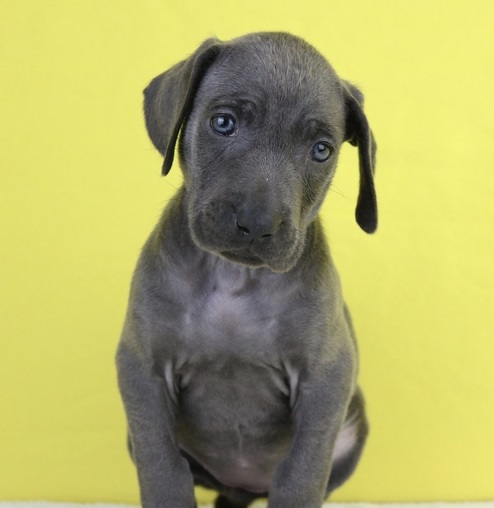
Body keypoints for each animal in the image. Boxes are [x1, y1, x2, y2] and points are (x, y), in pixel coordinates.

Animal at [116, 31, 378, 508]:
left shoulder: (327, 377)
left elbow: (301, 473)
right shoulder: (142, 367)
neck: (234, 280)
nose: (257, 224)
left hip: (353, 429)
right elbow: (162, 465)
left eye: (321, 150)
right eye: (223, 123)